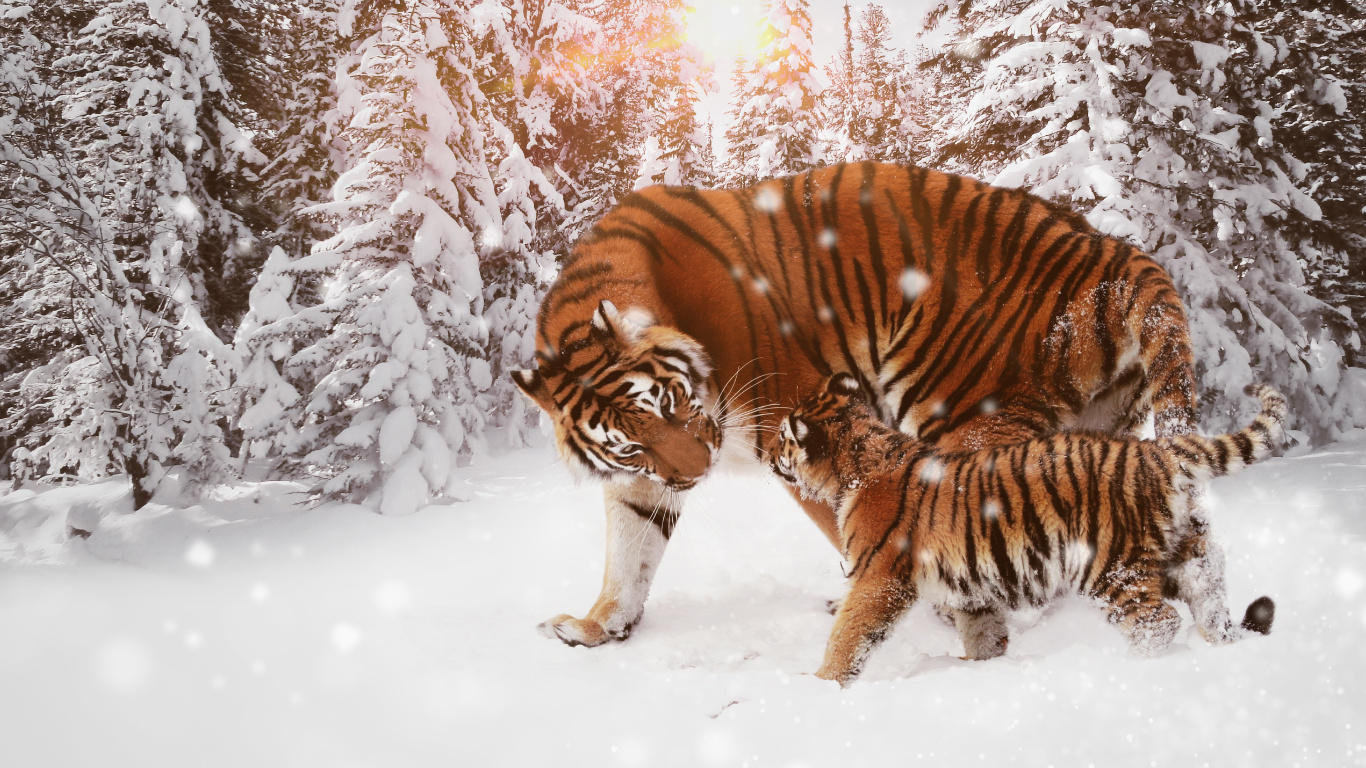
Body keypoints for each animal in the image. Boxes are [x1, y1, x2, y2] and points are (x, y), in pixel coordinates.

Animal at [511, 161, 1218, 656]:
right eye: (632, 442)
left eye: (671, 402)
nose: (697, 472)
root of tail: (1117, 252)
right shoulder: (642, 478)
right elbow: (629, 551)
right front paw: (597, 626)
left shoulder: (794, 417)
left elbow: (848, 520)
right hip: (1095, 430)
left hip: (963, 414)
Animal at [770, 373, 1281, 686]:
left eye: (782, 438)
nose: (770, 455)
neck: (856, 461)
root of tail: (1155, 452)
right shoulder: (969, 587)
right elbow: (982, 632)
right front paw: (978, 667)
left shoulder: (879, 578)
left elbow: (849, 635)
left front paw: (820, 685)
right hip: (1185, 553)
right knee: (1209, 596)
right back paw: (1224, 645)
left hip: (1110, 567)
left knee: (1158, 622)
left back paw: (1132, 667)